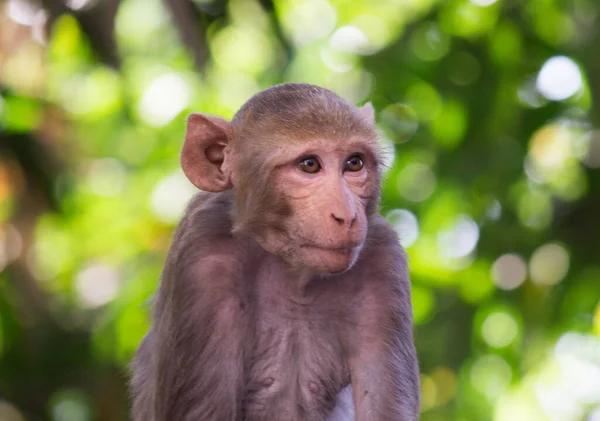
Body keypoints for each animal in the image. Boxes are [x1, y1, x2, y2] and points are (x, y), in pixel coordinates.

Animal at [129, 83, 420, 420]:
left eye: (354, 163)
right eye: (309, 165)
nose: (347, 216)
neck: (293, 272)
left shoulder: (383, 260)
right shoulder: (202, 257)